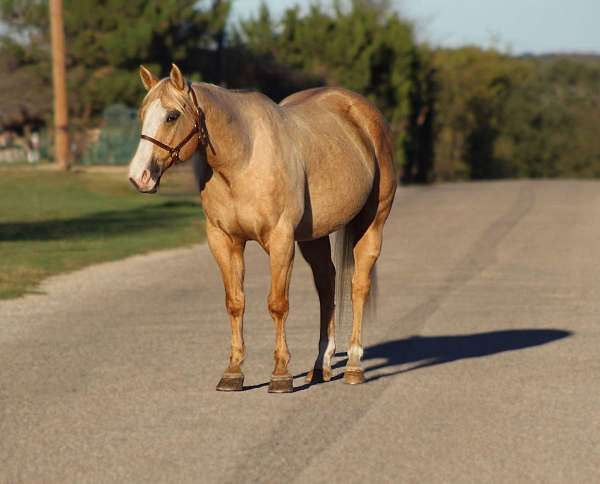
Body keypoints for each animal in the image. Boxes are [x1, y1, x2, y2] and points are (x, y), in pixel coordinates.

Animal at [129, 64, 396, 392]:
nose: (139, 176)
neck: (243, 158)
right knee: (326, 284)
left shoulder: (281, 240)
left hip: (373, 222)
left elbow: (277, 304)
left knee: (358, 286)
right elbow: (235, 303)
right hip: (314, 237)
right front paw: (233, 372)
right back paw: (319, 366)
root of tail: (364, 113)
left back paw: (354, 366)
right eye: (142, 114)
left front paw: (281, 373)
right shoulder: (224, 240)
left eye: (172, 116)